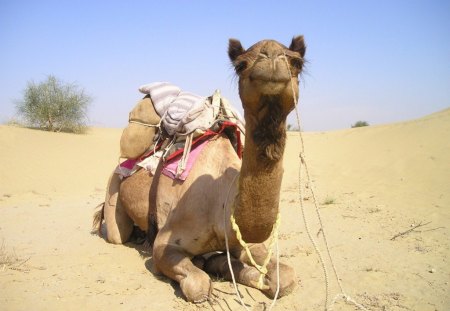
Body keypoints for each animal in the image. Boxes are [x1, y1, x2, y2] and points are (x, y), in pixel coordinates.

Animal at [94, 36, 306, 302]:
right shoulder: (165, 243)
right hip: (113, 187)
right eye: (240, 65)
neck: (220, 203)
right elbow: (199, 286)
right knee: (117, 234)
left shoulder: (244, 243)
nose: (271, 56)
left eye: (297, 62)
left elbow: (285, 277)